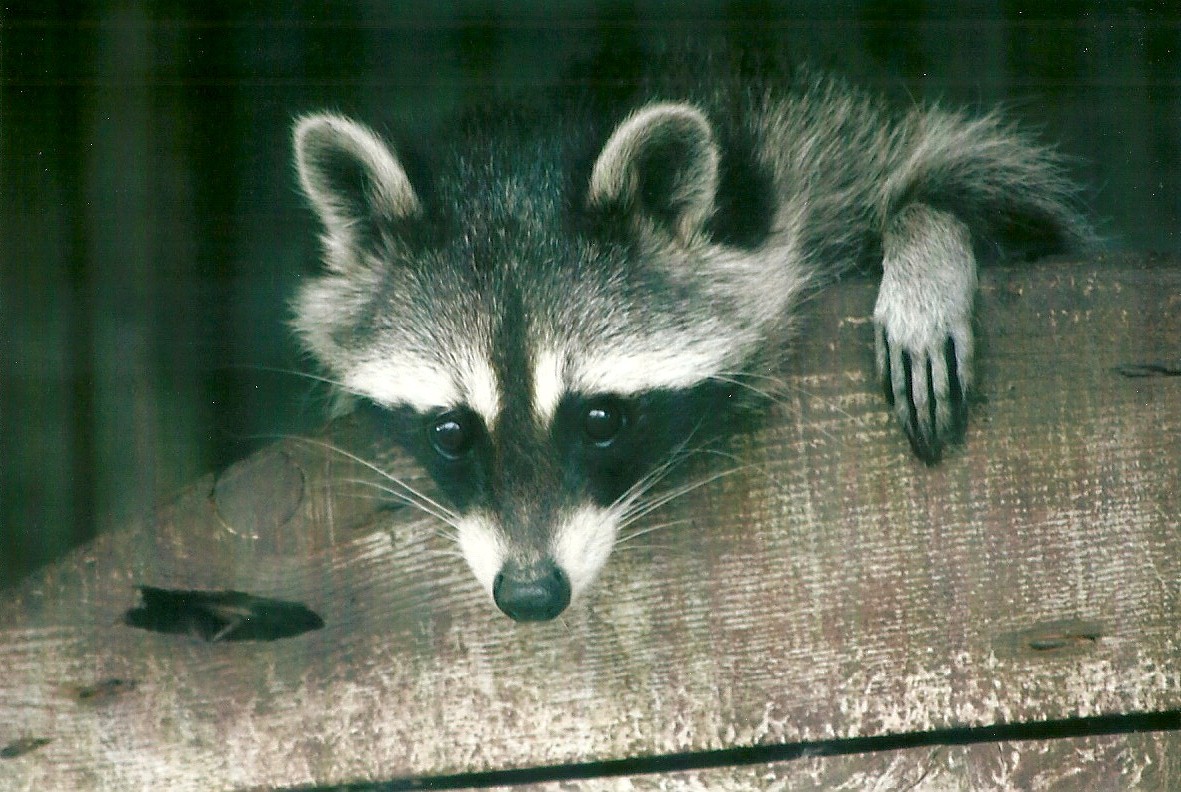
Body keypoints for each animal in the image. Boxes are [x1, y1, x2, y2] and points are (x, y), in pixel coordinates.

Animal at [290, 48, 1090, 621]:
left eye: (600, 419)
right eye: (451, 432)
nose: (530, 596)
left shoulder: (829, 148)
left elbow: (999, 192)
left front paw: (927, 236)